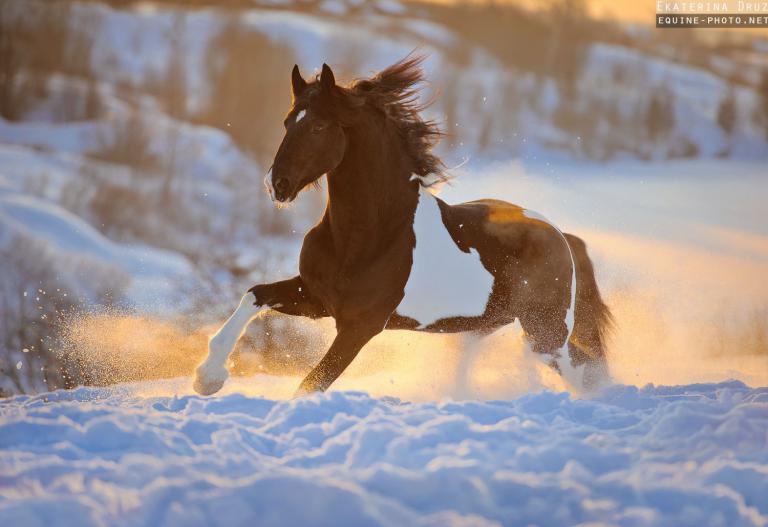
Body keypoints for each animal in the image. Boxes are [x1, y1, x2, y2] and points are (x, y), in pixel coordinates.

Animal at [193, 55, 612, 398]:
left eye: (319, 126)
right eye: (286, 122)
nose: (276, 185)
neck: (366, 237)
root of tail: (561, 236)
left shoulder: (360, 326)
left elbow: (311, 385)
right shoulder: (316, 298)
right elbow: (254, 295)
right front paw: (207, 379)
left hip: (544, 332)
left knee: (584, 369)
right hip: (490, 325)